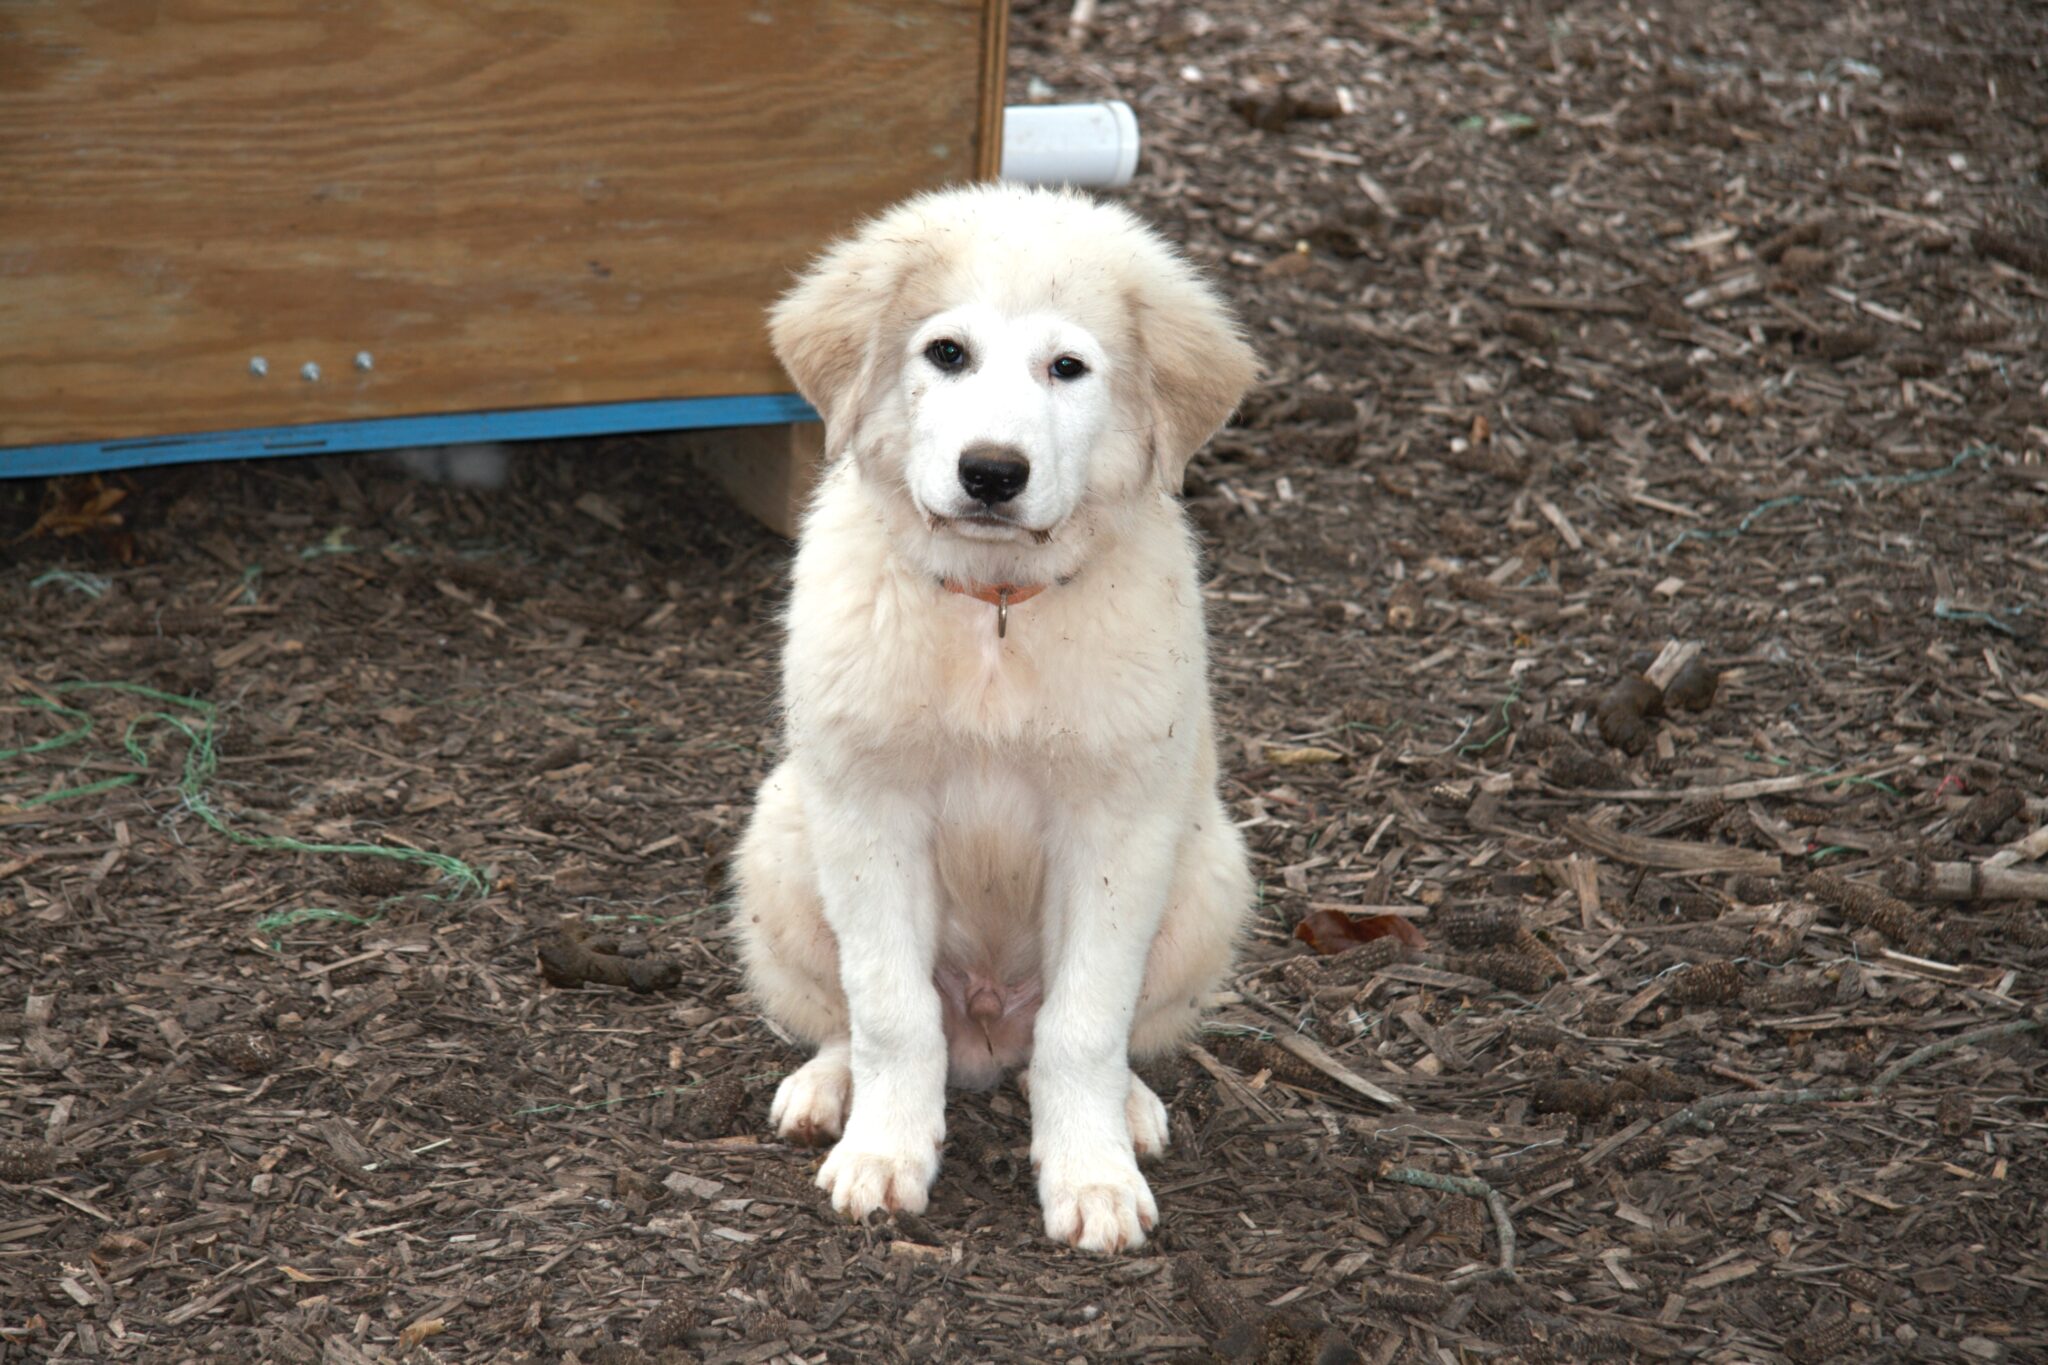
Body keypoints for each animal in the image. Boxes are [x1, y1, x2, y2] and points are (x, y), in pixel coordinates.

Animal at [729, 187, 1253, 1252]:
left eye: (1068, 367)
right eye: (947, 353)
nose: (992, 474)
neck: (996, 610)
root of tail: (984, 1022)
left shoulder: (1117, 826)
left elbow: (1084, 1025)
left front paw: (1093, 1176)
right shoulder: (869, 807)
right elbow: (890, 1011)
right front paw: (885, 1155)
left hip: (1207, 874)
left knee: (1095, 1031)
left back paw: (1127, 1107)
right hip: (782, 841)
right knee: (853, 1016)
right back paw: (830, 1087)